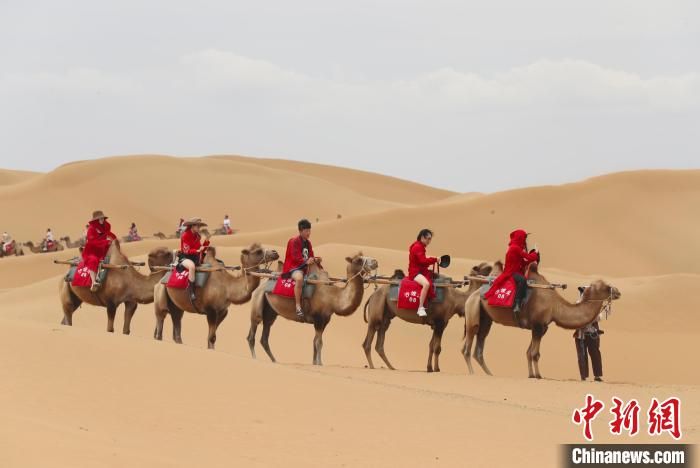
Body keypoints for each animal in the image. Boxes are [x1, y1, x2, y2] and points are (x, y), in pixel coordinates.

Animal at [249, 252, 380, 366]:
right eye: (359, 260)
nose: (375, 262)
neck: (333, 297)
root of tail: (260, 286)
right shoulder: (318, 319)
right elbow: (318, 342)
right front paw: (320, 363)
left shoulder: (325, 320)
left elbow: (315, 342)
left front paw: (314, 363)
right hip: (257, 304)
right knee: (252, 333)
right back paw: (254, 358)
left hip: (270, 312)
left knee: (265, 335)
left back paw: (274, 360)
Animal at [360, 262, 498, 372]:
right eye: (486, 268)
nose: (495, 274)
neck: (456, 299)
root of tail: (372, 295)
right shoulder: (440, 322)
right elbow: (437, 347)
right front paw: (437, 368)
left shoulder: (439, 323)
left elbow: (432, 345)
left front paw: (430, 368)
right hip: (377, 309)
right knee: (368, 340)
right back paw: (372, 367)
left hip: (386, 315)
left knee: (380, 341)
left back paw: (391, 367)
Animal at [462, 264, 620, 380]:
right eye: (606, 287)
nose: (618, 291)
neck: (555, 305)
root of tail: (474, 294)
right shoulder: (538, 326)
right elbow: (535, 353)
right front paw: (538, 375)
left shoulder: (541, 327)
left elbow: (529, 352)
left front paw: (531, 375)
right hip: (473, 310)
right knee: (467, 345)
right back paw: (472, 373)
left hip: (485, 318)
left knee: (479, 344)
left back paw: (490, 374)